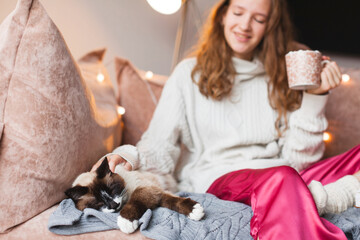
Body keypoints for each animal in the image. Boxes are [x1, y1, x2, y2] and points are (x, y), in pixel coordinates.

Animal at [65, 158, 205, 233]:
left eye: (112, 190)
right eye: (98, 202)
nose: (114, 205)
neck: (125, 199)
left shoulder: (146, 189)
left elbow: (136, 201)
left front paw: (125, 221)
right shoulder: (153, 192)